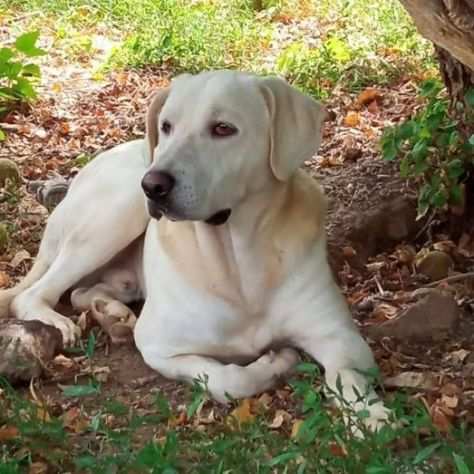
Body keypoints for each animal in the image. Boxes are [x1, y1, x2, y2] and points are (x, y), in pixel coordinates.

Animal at [0, 70, 388, 430]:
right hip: (117, 213)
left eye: (223, 128)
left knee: (83, 290)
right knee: (34, 293)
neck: (237, 262)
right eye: (167, 126)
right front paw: (275, 364)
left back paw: (111, 313)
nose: (152, 185)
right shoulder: (161, 346)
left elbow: (347, 376)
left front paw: (372, 417)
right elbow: (229, 378)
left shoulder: (340, 336)